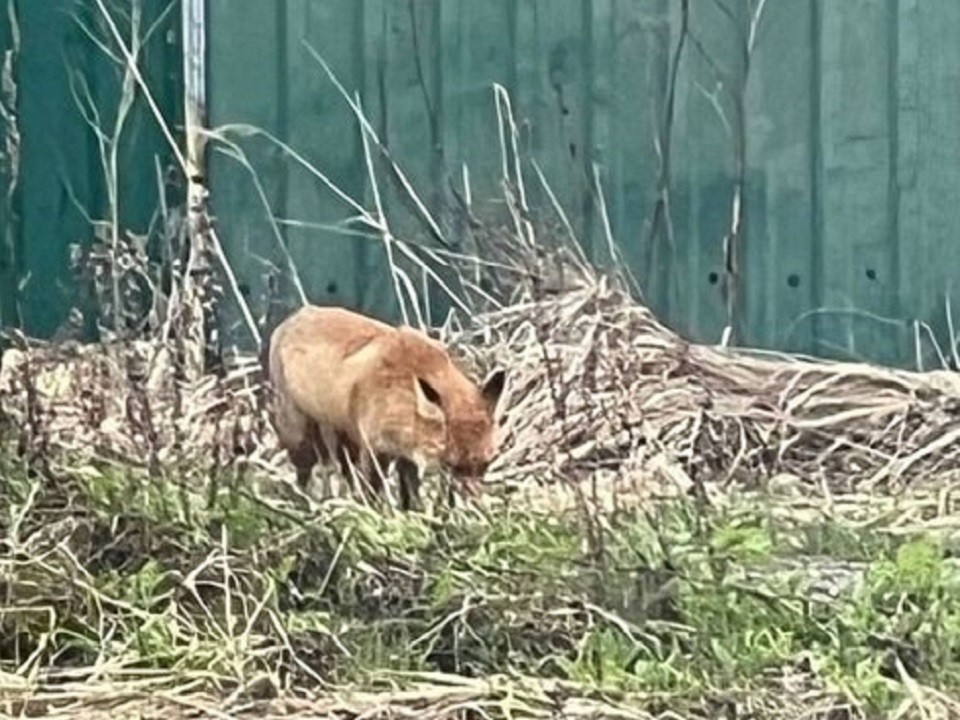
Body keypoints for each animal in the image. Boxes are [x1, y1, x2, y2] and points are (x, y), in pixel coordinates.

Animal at [258, 304, 506, 512]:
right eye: (452, 464)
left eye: (485, 464)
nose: (475, 505)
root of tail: (295, 315)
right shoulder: (374, 449)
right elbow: (373, 492)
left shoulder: (406, 454)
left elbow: (410, 495)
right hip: (298, 431)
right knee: (304, 470)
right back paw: (301, 504)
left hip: (343, 437)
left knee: (343, 471)